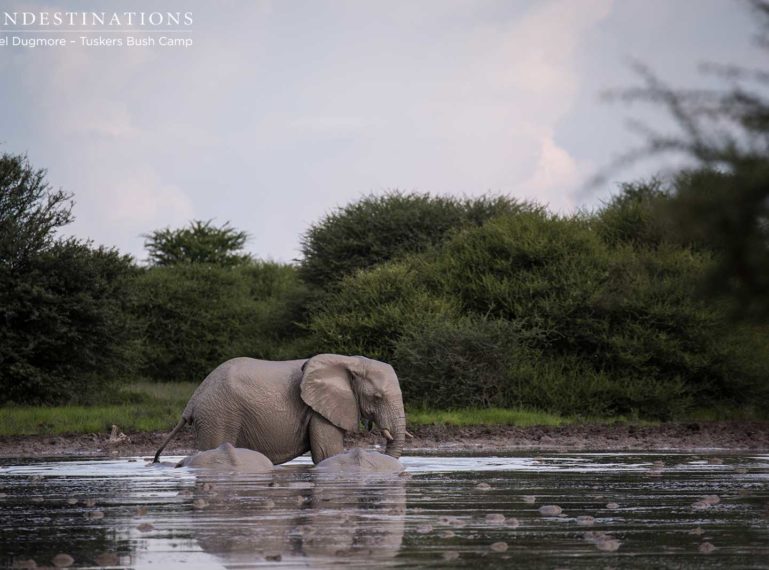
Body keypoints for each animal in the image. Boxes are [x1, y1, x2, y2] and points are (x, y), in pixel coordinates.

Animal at [153, 352, 412, 464]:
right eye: (377, 397)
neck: (351, 361)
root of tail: (194, 399)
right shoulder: (319, 409)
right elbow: (327, 454)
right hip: (218, 415)